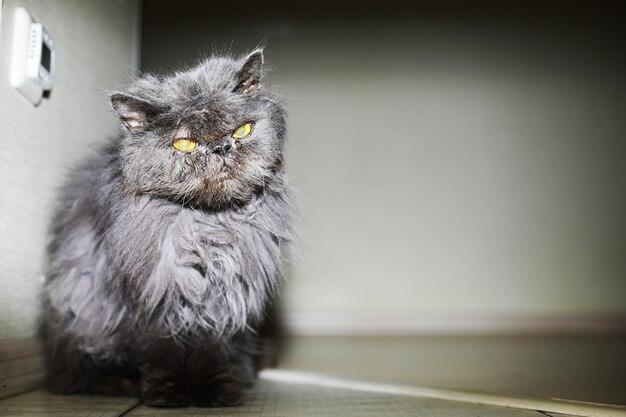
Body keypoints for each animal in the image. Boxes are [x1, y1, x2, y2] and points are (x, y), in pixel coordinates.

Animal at [40, 49, 294, 406]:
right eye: (184, 144)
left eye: (242, 130)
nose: (221, 148)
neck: (209, 226)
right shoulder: (153, 297)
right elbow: (163, 352)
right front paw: (169, 392)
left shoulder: (221, 299)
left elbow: (212, 350)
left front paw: (214, 390)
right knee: (78, 375)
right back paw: (121, 382)